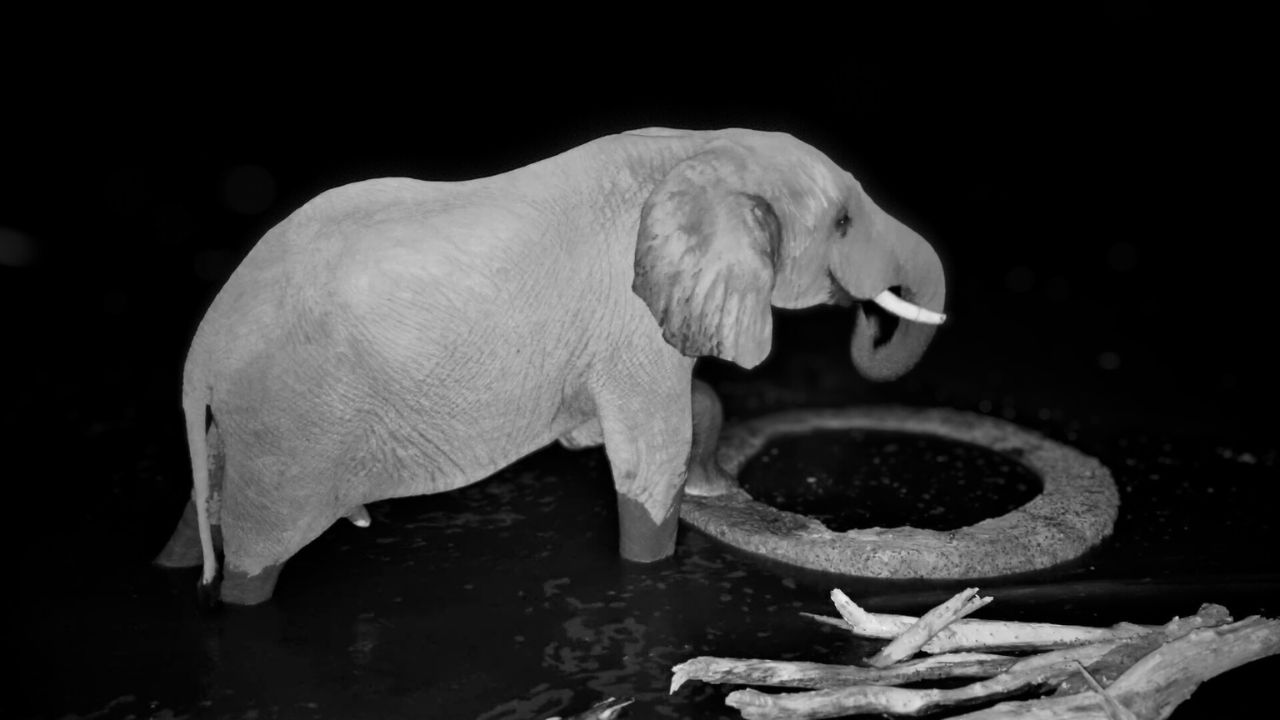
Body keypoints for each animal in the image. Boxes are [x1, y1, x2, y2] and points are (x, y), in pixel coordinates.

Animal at [154, 127, 947, 605]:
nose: (868, 319)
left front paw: (714, 488)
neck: (707, 148)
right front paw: (650, 566)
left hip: (252, 420)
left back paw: (173, 565)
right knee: (257, 557)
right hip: (292, 427)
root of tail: (201, 351)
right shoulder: (628, 315)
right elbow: (649, 454)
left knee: (206, 501)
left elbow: (674, 415)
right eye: (842, 222)